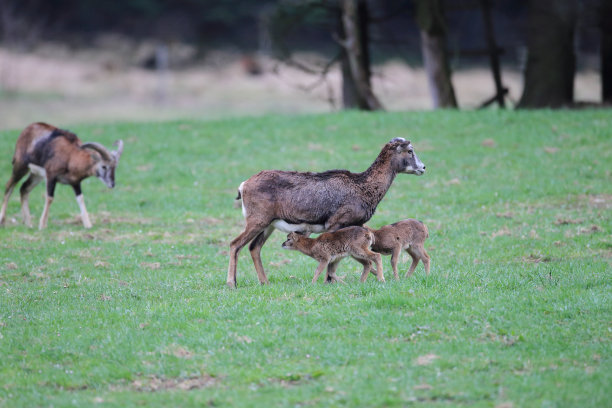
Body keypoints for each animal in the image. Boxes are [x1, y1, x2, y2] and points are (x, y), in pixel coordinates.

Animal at [226, 137, 426, 286]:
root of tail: (244, 185)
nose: (423, 168)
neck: (363, 187)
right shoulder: (335, 225)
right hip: (257, 222)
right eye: (410, 151)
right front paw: (329, 281)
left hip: (268, 226)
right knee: (235, 245)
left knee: (254, 248)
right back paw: (232, 283)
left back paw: (265, 283)